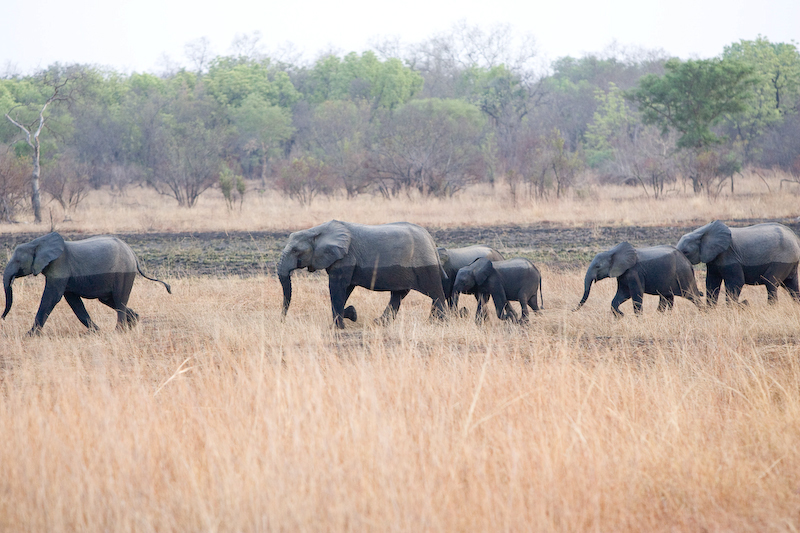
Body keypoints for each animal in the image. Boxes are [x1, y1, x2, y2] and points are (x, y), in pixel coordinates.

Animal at [3, 232, 172, 334]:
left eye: (17, 261)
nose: (2, 319)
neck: (37, 243)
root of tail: (133, 254)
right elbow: (73, 301)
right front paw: (96, 332)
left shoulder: (60, 266)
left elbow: (52, 297)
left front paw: (29, 335)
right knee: (109, 300)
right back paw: (134, 322)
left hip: (124, 273)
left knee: (119, 300)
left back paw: (119, 331)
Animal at [278, 218, 446, 326]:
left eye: (295, 250)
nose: (282, 321)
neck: (316, 231)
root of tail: (430, 239)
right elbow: (345, 289)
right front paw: (350, 314)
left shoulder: (346, 258)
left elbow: (337, 287)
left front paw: (339, 326)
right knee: (398, 295)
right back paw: (379, 323)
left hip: (424, 265)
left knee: (435, 292)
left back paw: (438, 323)